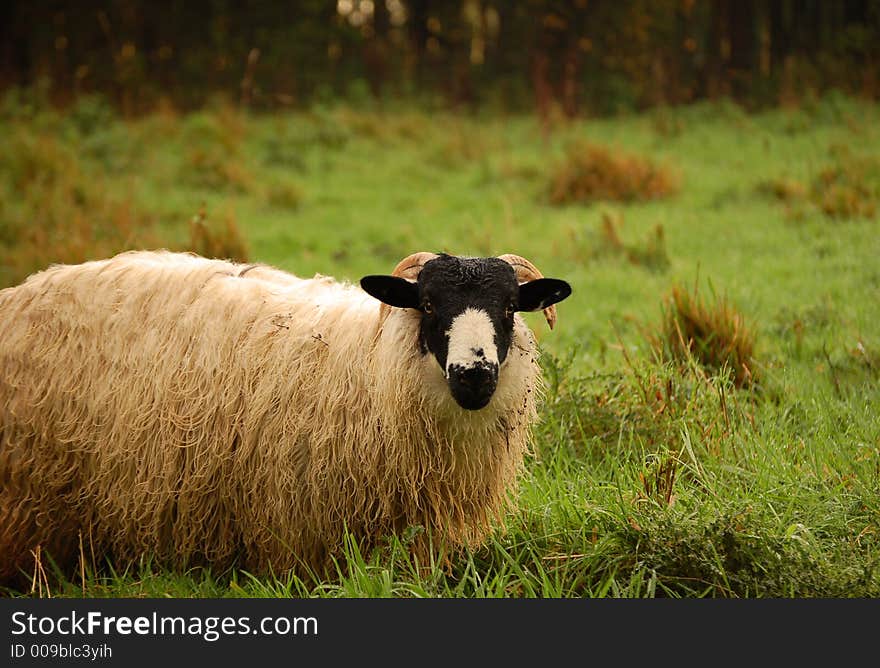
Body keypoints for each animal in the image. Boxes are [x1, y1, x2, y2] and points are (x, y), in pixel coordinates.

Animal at [0, 248, 572, 580]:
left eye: (508, 308)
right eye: (428, 306)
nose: (474, 375)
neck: (368, 364)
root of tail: (20, 292)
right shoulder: (296, 524)